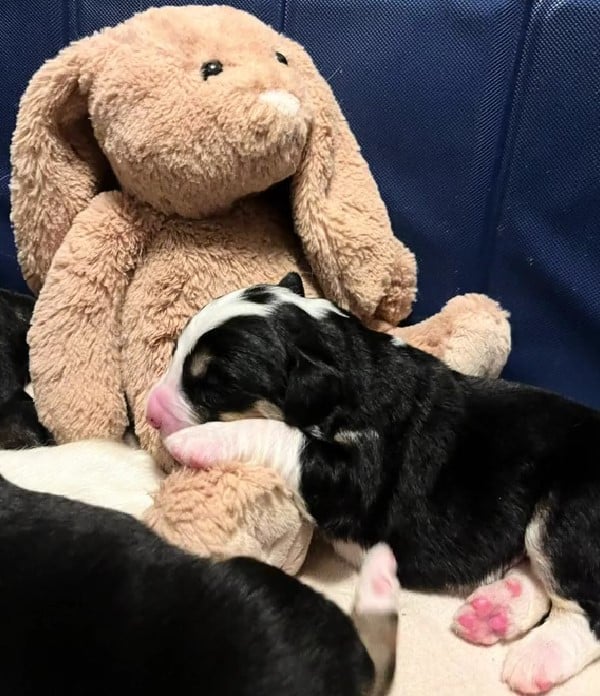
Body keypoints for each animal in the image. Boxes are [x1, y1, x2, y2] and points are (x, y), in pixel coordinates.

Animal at [148, 274, 600, 696]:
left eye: (214, 385)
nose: (151, 413)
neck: (350, 370)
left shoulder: (354, 481)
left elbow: (280, 434)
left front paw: (195, 441)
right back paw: (493, 613)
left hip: (566, 513)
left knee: (583, 604)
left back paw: (538, 657)